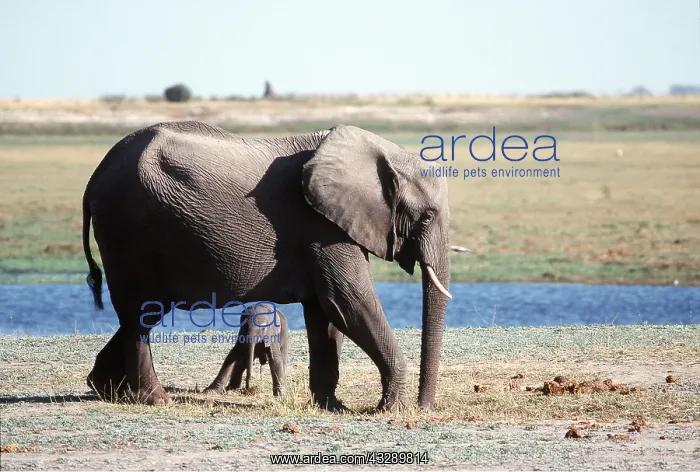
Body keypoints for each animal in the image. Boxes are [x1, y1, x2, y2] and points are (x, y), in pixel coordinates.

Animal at [81, 121, 452, 411]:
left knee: (140, 313)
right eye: (427, 217)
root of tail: (95, 176)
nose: (424, 407)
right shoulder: (321, 227)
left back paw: (105, 388)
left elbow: (326, 315)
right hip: (129, 230)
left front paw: (332, 407)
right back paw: (154, 399)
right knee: (141, 314)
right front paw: (391, 409)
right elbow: (349, 302)